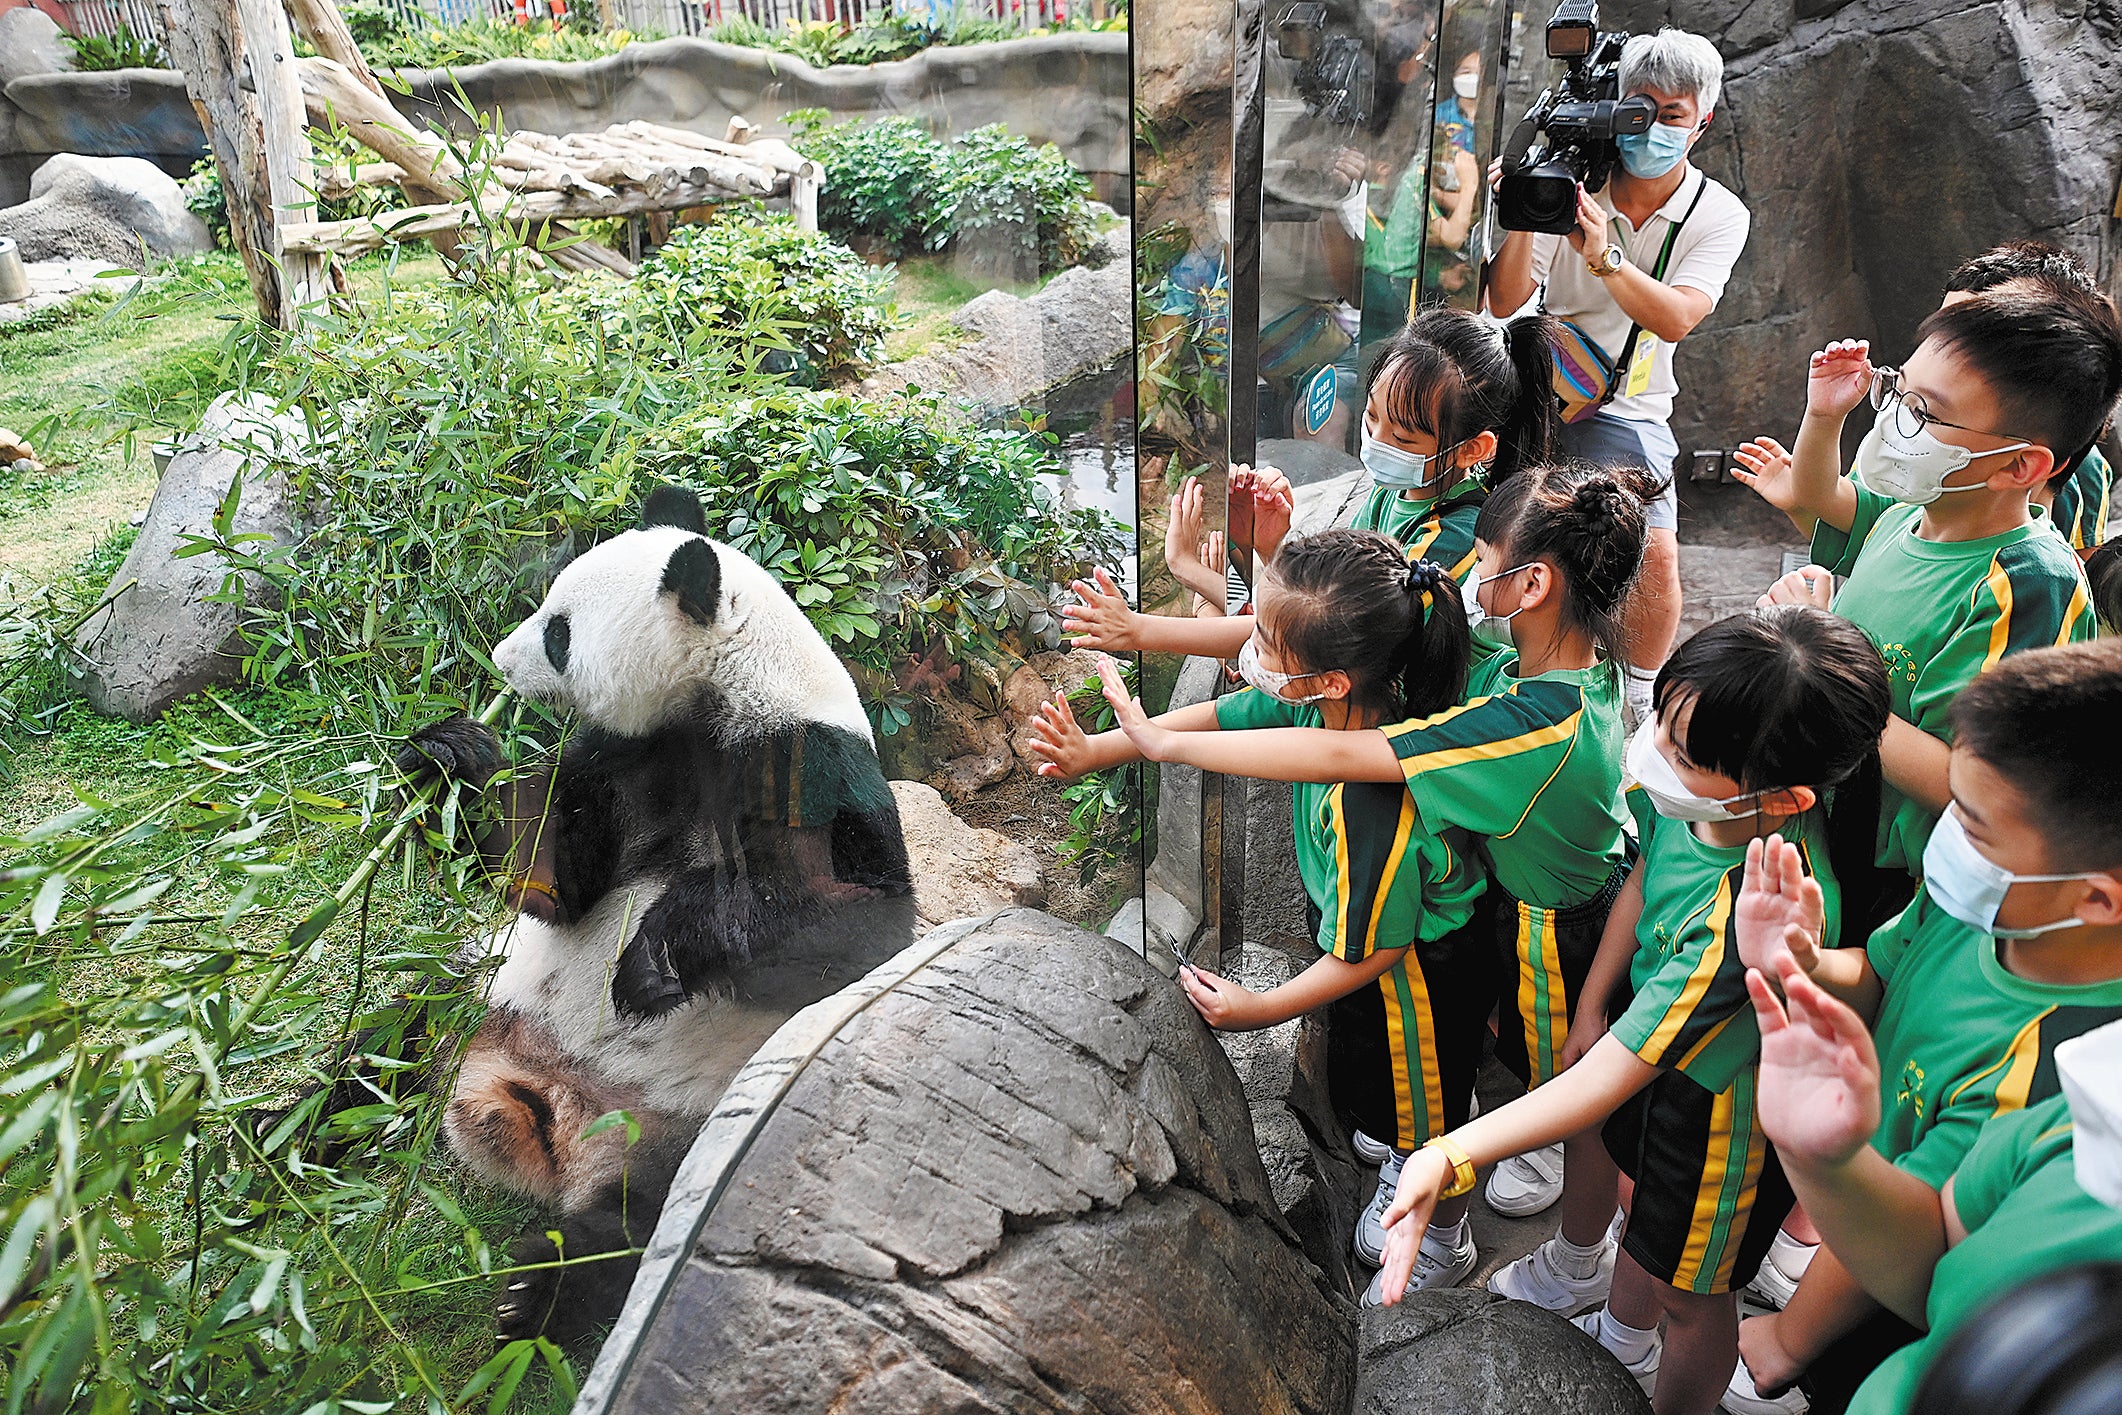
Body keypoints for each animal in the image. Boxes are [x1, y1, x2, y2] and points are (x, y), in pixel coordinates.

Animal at [401, 490, 916, 1349]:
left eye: (558, 631)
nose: (501, 661)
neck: (720, 690)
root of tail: (542, 1102)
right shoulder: (630, 756)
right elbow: (555, 878)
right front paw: (449, 758)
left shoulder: (807, 764)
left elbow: (854, 924)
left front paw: (653, 957)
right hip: (487, 992)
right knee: (397, 1036)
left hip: (686, 1132)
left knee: (635, 1230)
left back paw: (532, 1299)